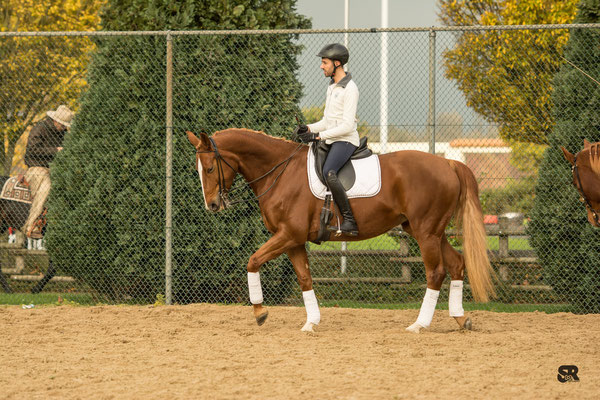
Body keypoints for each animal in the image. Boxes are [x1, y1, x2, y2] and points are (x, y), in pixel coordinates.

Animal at [189, 128, 496, 332]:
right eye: (199, 169)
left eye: (209, 168)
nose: (212, 205)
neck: (280, 173)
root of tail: (448, 162)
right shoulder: (293, 241)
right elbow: (304, 278)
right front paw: (311, 322)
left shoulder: (288, 235)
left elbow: (252, 261)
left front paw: (260, 312)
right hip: (430, 231)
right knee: (457, 264)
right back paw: (461, 318)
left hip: (426, 233)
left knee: (436, 272)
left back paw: (419, 324)